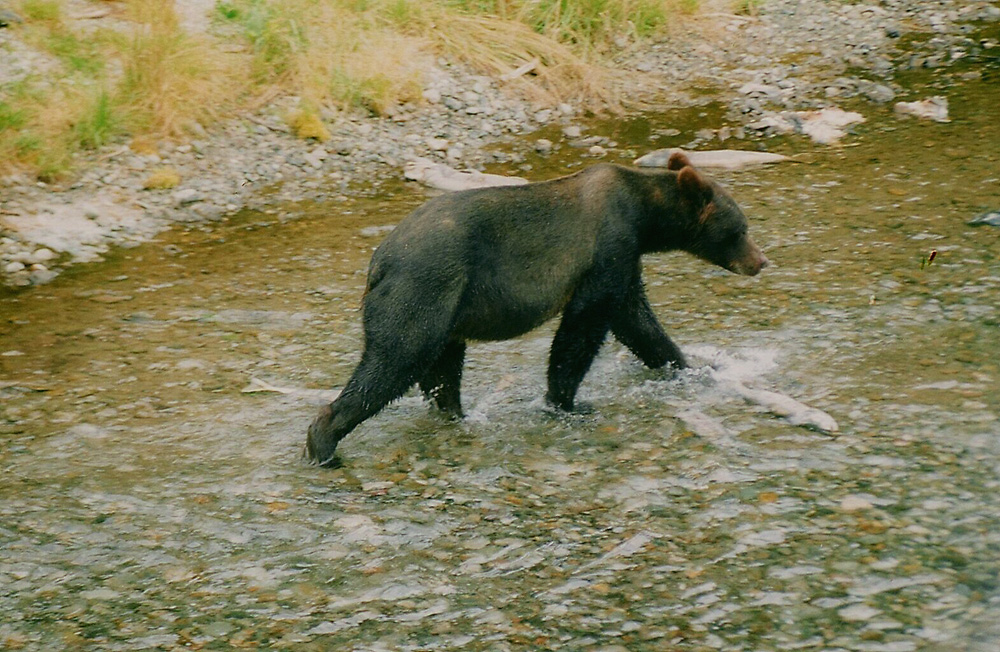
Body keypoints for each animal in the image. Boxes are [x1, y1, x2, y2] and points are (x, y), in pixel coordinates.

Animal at [308, 152, 768, 468]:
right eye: (741, 229)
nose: (761, 261)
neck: (642, 214)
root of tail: (378, 263)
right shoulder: (606, 248)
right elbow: (584, 327)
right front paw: (566, 402)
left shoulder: (624, 260)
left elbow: (637, 321)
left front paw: (694, 365)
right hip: (424, 288)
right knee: (396, 358)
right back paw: (324, 442)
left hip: (450, 306)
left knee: (441, 370)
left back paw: (456, 415)